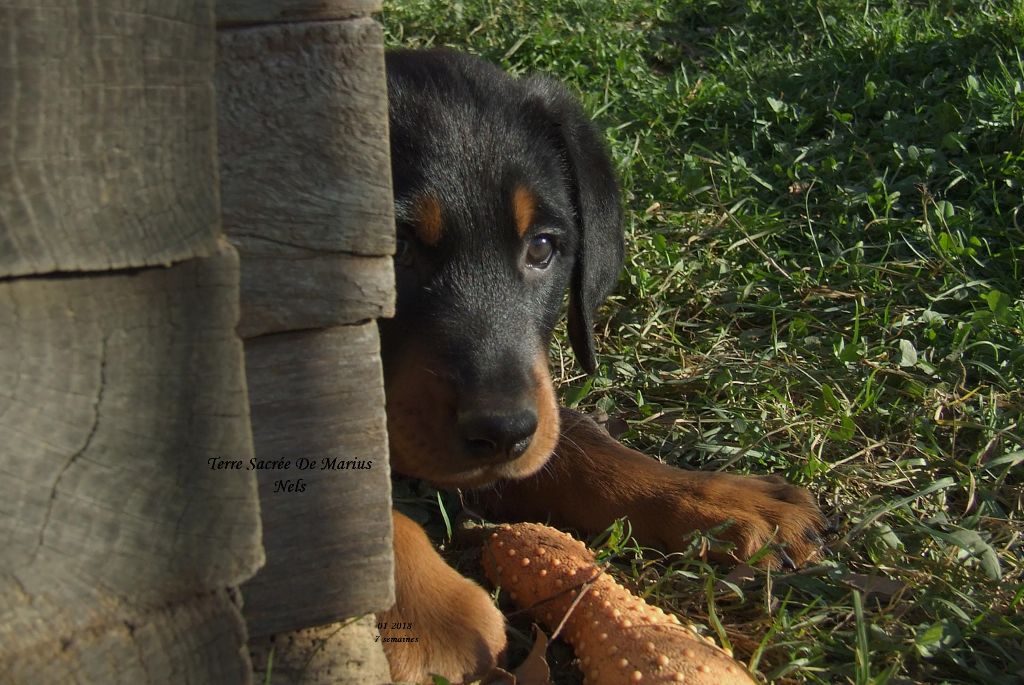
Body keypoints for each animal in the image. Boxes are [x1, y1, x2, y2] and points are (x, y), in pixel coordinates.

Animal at [376, 49, 823, 683]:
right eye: (392, 250)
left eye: (542, 248)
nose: (502, 434)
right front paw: (427, 616)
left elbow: (581, 446)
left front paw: (722, 500)